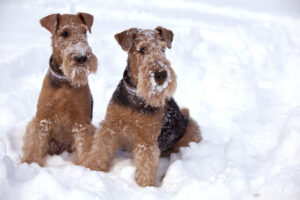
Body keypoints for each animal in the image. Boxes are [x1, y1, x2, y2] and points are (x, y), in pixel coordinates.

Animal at [21, 11, 98, 166]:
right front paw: (29, 163)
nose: (82, 57)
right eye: (64, 33)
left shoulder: (82, 122)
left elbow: (84, 147)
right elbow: (35, 144)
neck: (64, 81)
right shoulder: (42, 118)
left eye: (84, 31)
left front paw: (83, 165)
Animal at [82, 26, 202, 186]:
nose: (161, 75)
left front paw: (145, 186)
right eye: (142, 49)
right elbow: (101, 149)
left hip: (191, 131)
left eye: (163, 49)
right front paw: (92, 168)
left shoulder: (147, 140)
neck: (136, 98)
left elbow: (146, 165)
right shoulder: (110, 126)